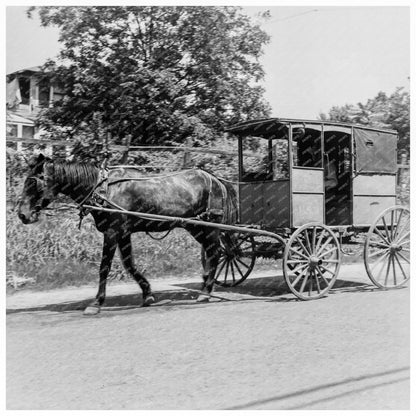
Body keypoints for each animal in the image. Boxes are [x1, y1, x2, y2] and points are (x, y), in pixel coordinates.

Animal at [17, 154, 237, 314]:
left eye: (34, 183)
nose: (22, 214)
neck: (103, 190)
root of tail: (216, 180)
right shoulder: (123, 233)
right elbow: (129, 264)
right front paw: (147, 294)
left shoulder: (112, 232)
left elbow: (104, 267)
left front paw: (96, 303)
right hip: (196, 227)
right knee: (212, 253)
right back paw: (205, 284)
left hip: (210, 226)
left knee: (215, 253)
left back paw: (206, 291)